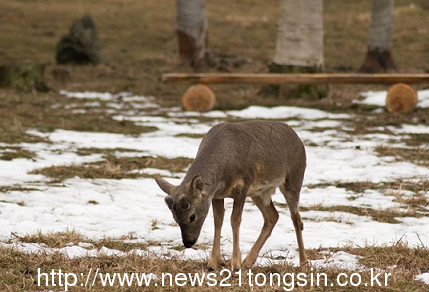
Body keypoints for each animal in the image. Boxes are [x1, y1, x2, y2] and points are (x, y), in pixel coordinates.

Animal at [154, 120, 308, 270]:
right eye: (175, 218)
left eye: (192, 216)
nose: (188, 243)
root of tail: (298, 138)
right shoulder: (217, 194)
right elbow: (218, 221)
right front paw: (213, 263)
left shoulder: (244, 184)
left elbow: (235, 220)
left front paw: (235, 264)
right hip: (259, 192)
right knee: (273, 216)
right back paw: (248, 261)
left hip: (294, 179)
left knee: (296, 219)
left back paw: (304, 262)